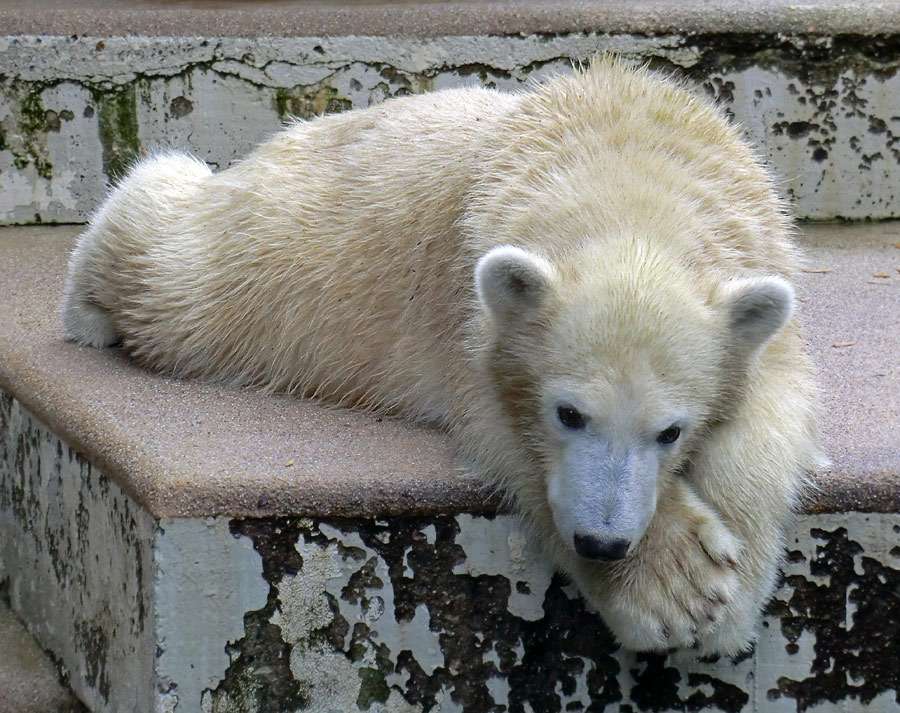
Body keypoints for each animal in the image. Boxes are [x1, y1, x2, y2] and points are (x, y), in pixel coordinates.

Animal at [63, 58, 824, 652]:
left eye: (670, 431)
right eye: (568, 413)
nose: (603, 542)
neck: (629, 170)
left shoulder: (761, 272)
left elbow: (774, 411)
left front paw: (730, 597)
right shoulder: (470, 305)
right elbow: (501, 432)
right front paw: (673, 588)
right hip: (268, 256)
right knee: (172, 270)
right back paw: (93, 301)